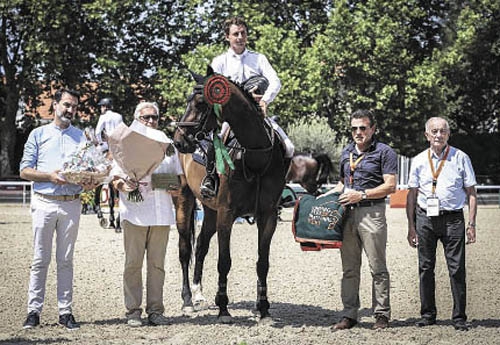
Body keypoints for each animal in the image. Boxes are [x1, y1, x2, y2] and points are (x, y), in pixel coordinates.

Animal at [173, 68, 288, 322]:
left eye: (201, 103)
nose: (179, 140)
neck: (256, 156)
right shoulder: (227, 214)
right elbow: (224, 262)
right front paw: (223, 308)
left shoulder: (268, 216)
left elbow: (262, 263)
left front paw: (263, 308)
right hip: (184, 201)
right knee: (185, 249)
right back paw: (187, 300)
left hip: (209, 210)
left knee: (201, 245)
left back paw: (198, 293)